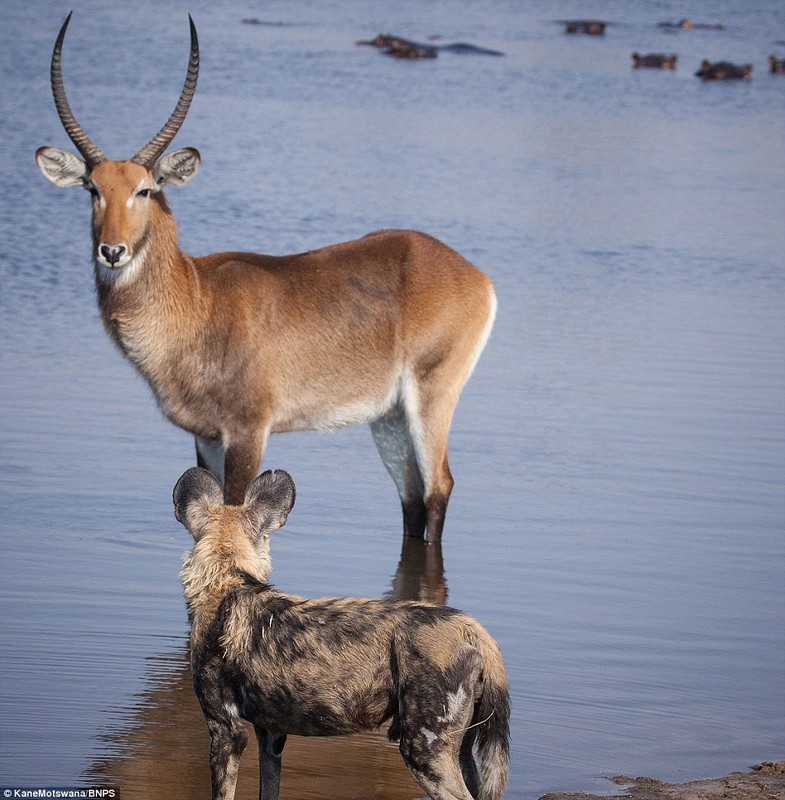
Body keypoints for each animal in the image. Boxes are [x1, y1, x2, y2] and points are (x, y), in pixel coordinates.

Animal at [35, 12, 496, 540]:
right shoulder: (206, 437)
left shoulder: (248, 431)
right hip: (390, 418)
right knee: (412, 500)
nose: (113, 250)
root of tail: (473, 273)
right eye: (92, 188)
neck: (196, 300)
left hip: (430, 397)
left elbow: (235, 514)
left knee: (439, 487)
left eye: (144, 190)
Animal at [175, 468, 512, 800]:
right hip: (460, 752)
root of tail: (471, 627)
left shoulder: (226, 730)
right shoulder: (270, 733)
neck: (227, 581)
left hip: (424, 750)